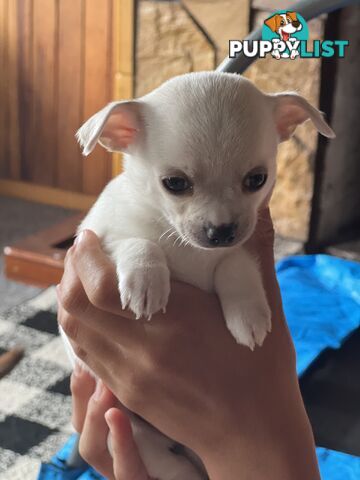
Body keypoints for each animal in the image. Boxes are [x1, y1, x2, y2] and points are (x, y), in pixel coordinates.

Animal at [61, 72, 334, 480]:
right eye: (175, 183)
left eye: (257, 179)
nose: (221, 231)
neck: (190, 251)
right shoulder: (98, 237)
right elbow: (139, 242)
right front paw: (146, 281)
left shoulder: (243, 250)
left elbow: (235, 267)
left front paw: (248, 314)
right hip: (127, 426)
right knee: (165, 462)